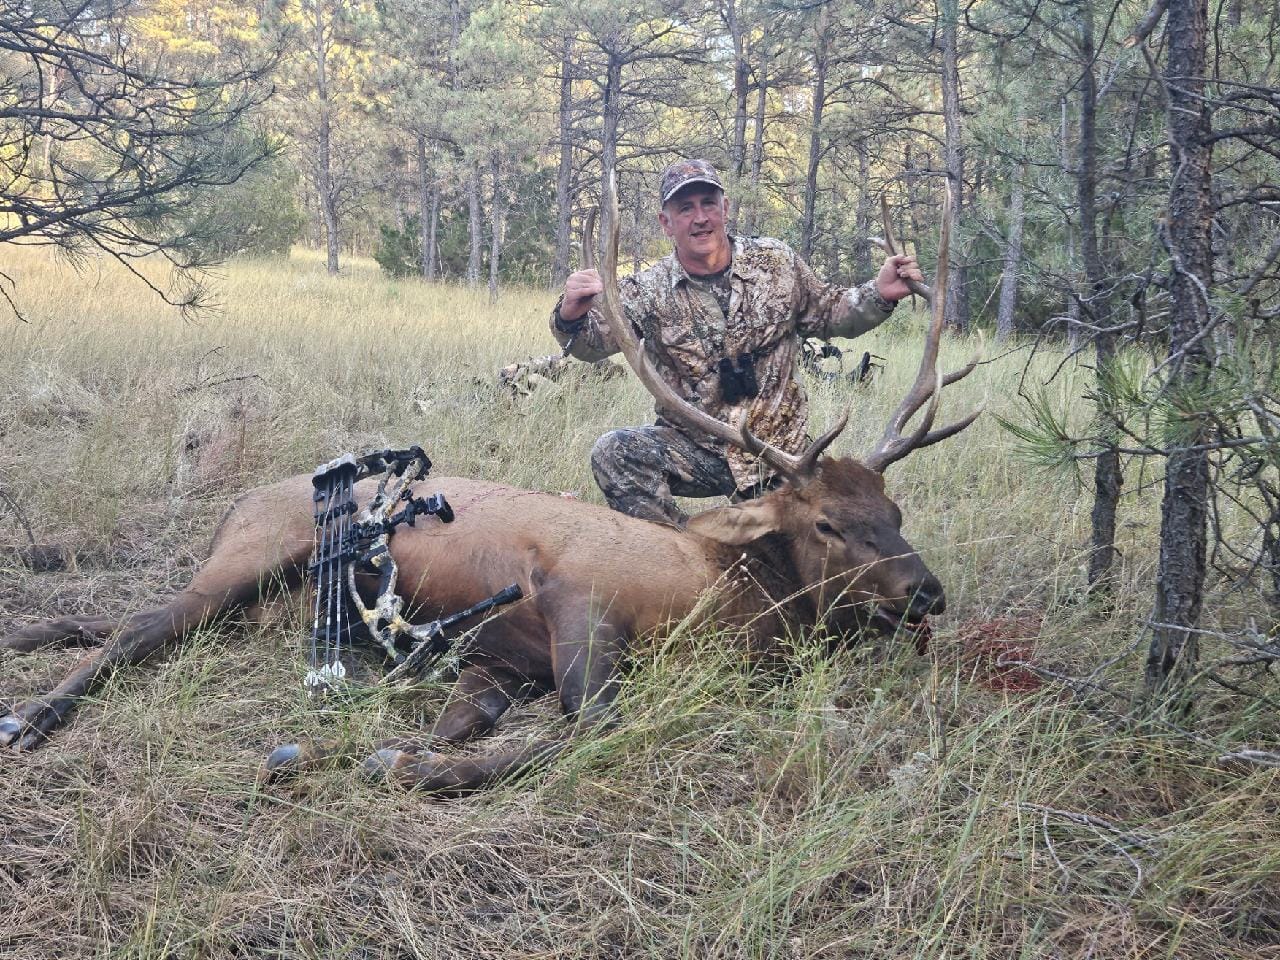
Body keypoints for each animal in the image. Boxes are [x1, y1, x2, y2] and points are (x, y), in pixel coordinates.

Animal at [0, 185, 977, 788]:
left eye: (893, 510)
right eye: (826, 523)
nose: (925, 590)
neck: (723, 597)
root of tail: (240, 501)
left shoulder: (497, 659)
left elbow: (464, 718)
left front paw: (363, 754)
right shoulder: (577, 594)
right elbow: (587, 728)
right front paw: (403, 766)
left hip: (264, 594)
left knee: (134, 615)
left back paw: (26, 630)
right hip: (257, 549)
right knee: (144, 624)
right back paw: (30, 716)